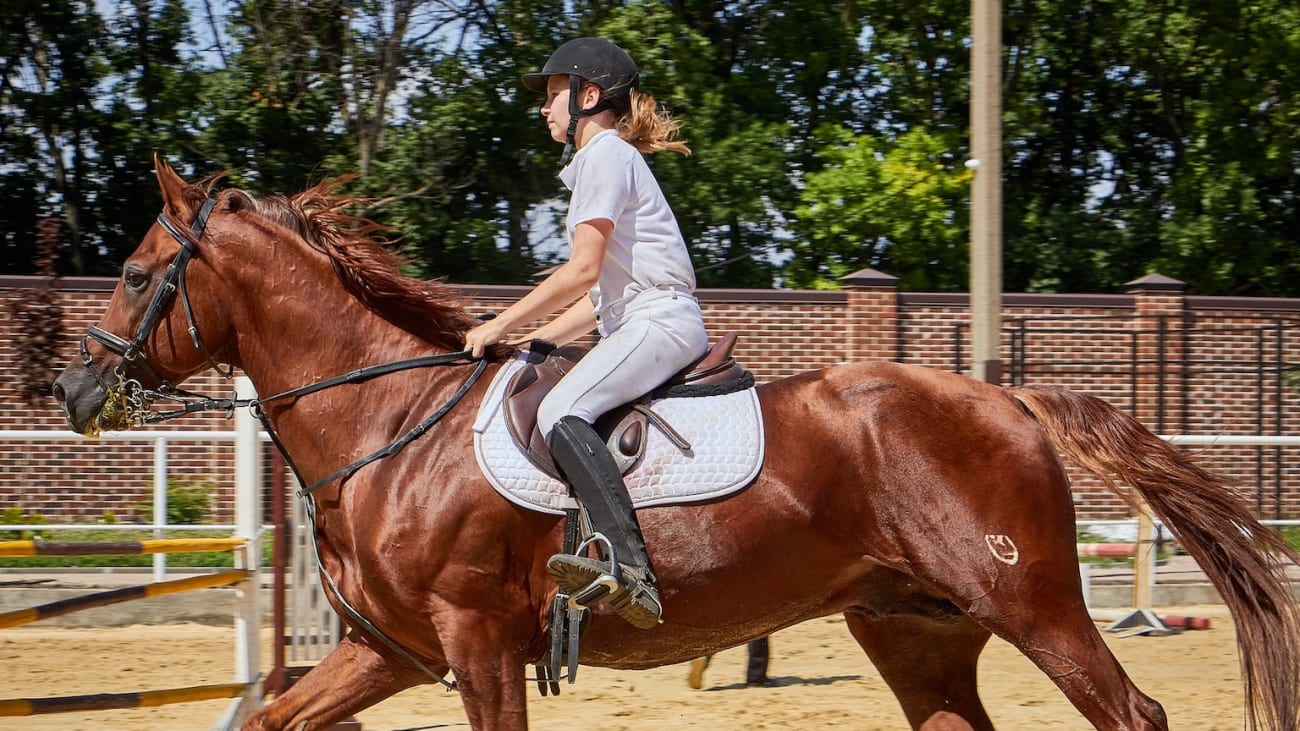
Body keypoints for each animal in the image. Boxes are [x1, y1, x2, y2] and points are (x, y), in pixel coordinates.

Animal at [53, 156, 1300, 723]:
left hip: (1031, 601)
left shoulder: (476, 641)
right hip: (916, 627)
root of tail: (1010, 397)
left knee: (1132, 710)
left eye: (133, 273)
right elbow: (272, 711)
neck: (389, 429)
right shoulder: (392, 648)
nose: (71, 386)